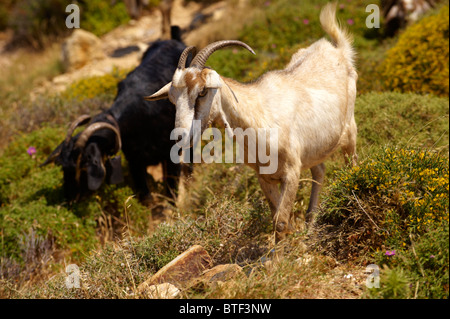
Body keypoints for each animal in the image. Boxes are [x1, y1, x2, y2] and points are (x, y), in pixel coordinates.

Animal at [43, 28, 189, 204]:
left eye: (82, 167)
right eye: (62, 166)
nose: (70, 198)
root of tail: (174, 40)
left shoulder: (171, 151)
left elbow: (172, 188)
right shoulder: (135, 161)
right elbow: (145, 194)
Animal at [148, 2, 358, 244]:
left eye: (202, 91)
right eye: (172, 99)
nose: (180, 136)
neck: (260, 116)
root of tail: (337, 49)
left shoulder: (291, 173)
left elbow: (281, 220)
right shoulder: (265, 177)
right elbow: (277, 219)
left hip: (349, 132)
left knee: (351, 164)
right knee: (320, 170)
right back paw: (311, 222)